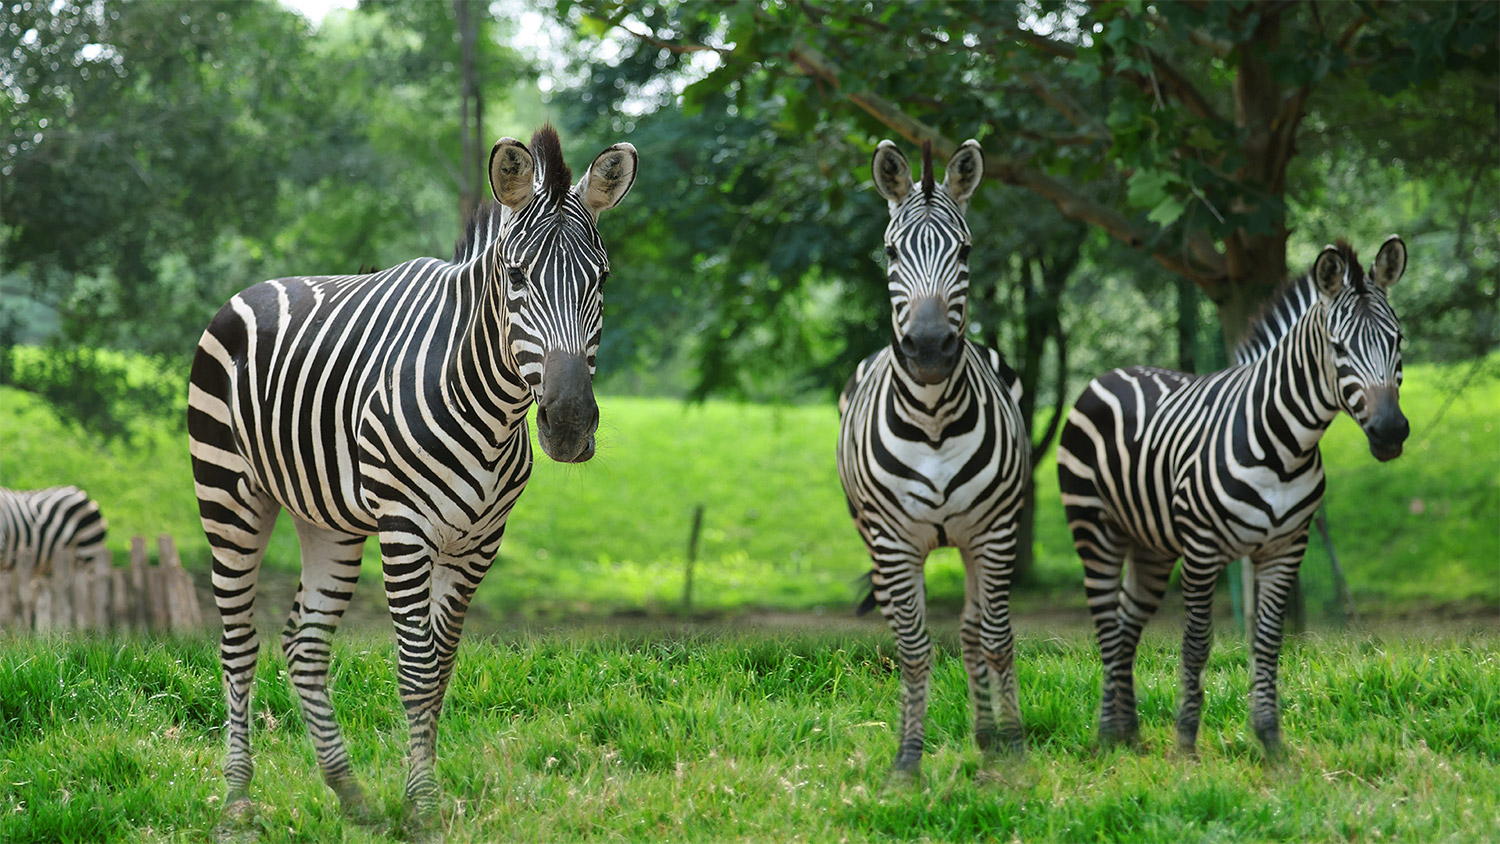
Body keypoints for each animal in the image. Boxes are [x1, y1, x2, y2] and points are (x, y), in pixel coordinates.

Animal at [188, 125, 637, 826]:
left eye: (603, 277)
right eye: (515, 276)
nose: (568, 424)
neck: (490, 404)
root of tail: (254, 287)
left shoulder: (480, 542)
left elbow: (442, 667)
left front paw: (420, 798)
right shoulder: (406, 531)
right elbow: (416, 668)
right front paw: (422, 807)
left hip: (330, 521)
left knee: (304, 646)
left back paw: (351, 797)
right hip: (228, 495)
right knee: (239, 644)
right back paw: (238, 800)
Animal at [837, 138, 1030, 778]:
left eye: (965, 249)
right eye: (892, 250)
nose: (926, 350)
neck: (933, 417)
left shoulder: (994, 534)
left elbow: (994, 639)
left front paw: (1013, 744)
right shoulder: (895, 544)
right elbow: (915, 650)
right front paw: (907, 759)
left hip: (981, 539)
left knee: (973, 632)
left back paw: (988, 734)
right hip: (875, 540)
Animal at [1057, 235, 1409, 758]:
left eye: (1397, 341)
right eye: (1339, 347)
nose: (1391, 432)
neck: (1285, 446)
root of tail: (1112, 374)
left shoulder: (1286, 550)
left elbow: (1267, 640)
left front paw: (1270, 740)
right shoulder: (1203, 549)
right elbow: (1197, 641)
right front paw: (1186, 743)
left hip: (1150, 545)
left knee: (1125, 623)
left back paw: (1129, 735)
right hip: (1093, 528)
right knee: (1104, 621)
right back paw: (1106, 735)